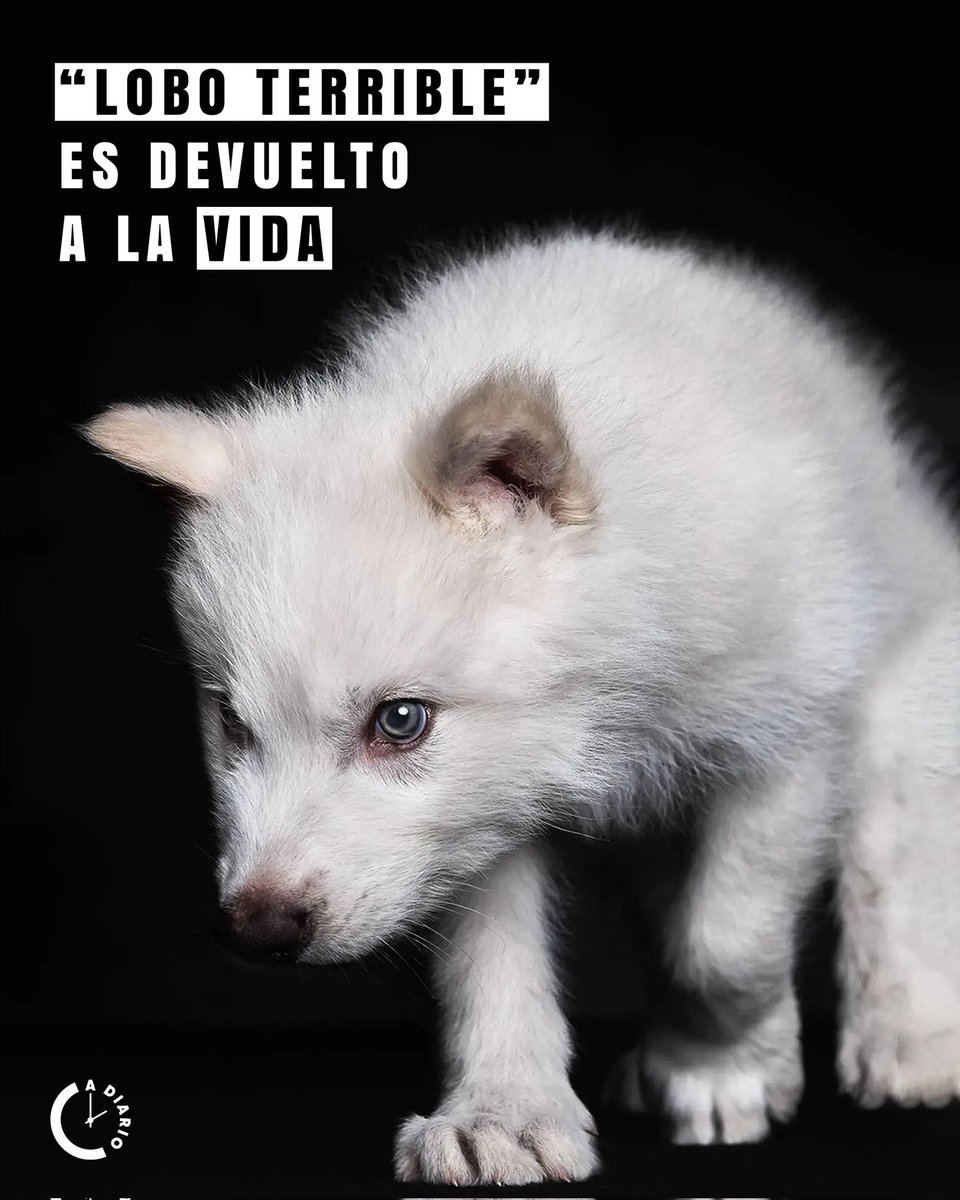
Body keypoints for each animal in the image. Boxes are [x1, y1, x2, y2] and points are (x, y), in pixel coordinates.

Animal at [84, 230, 960, 1185]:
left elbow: (723, 944)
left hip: (905, 673)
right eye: (232, 725)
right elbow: (495, 966)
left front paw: (724, 1069)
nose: (255, 930)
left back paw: (910, 1039)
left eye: (399, 721)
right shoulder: (478, 817)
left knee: (894, 851)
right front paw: (504, 1116)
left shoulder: (788, 742)